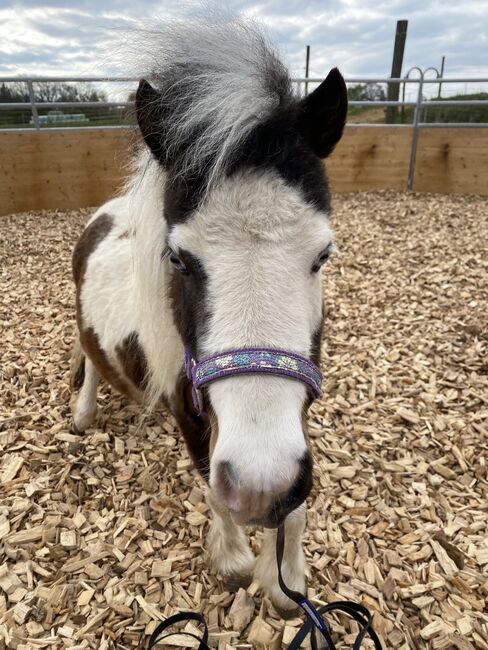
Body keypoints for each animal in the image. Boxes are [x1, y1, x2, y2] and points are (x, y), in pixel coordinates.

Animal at [71, 15, 346, 612]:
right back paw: (83, 413)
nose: (260, 487)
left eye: (323, 254)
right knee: (88, 357)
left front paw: (284, 582)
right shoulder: (189, 409)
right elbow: (212, 489)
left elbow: (298, 509)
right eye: (178, 258)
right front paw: (234, 563)